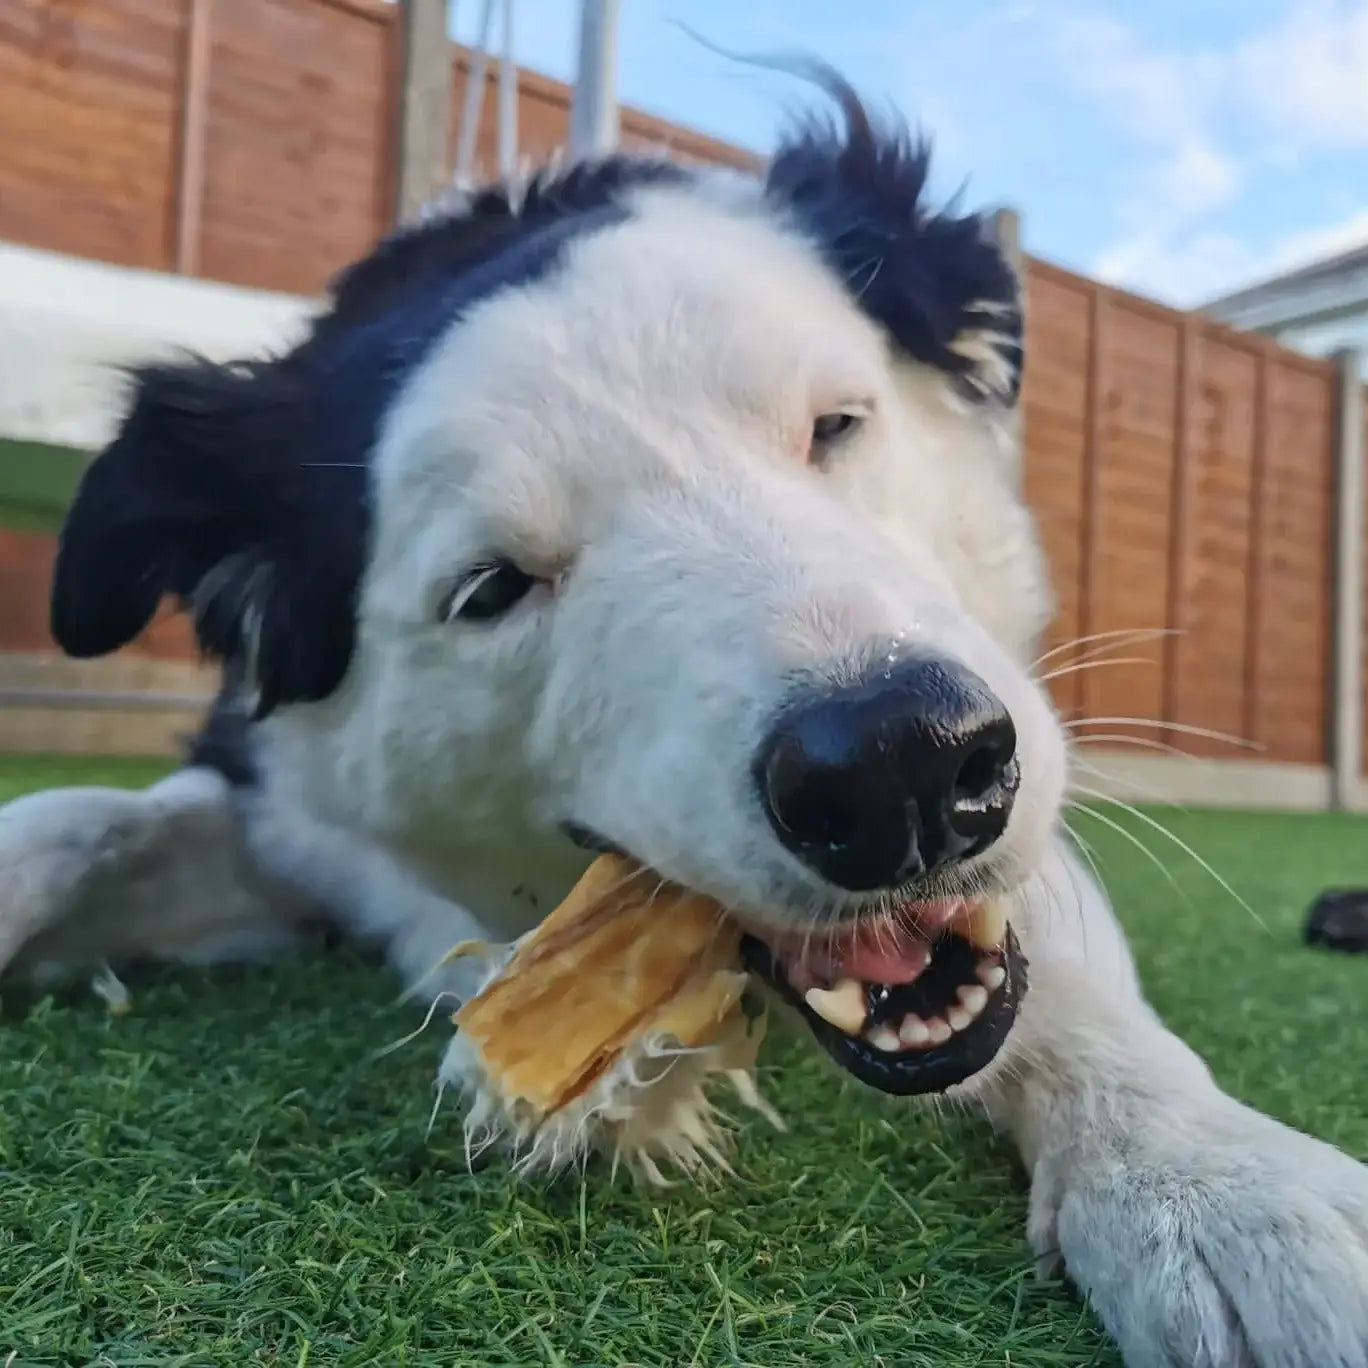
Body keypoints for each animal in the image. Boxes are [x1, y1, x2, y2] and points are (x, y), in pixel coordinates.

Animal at [2, 69, 1368, 1368]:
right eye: (492, 589)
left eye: (836, 424)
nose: (901, 770)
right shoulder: (285, 807)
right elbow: (73, 823)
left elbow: (1063, 972)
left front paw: (1226, 1189)